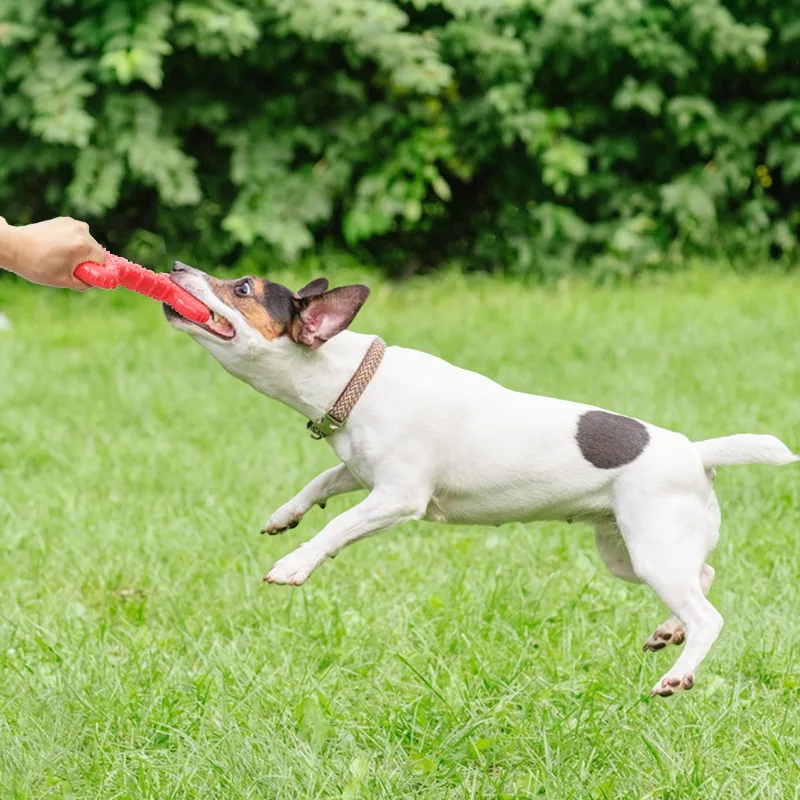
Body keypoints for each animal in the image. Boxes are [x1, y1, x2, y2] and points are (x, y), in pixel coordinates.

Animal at [164, 263, 798, 697]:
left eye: (243, 288)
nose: (175, 267)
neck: (347, 376)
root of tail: (694, 451)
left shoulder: (397, 498)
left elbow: (337, 527)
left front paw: (295, 563)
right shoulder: (361, 472)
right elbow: (322, 482)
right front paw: (285, 515)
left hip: (653, 549)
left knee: (709, 615)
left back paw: (677, 673)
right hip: (628, 553)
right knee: (704, 576)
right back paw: (669, 631)